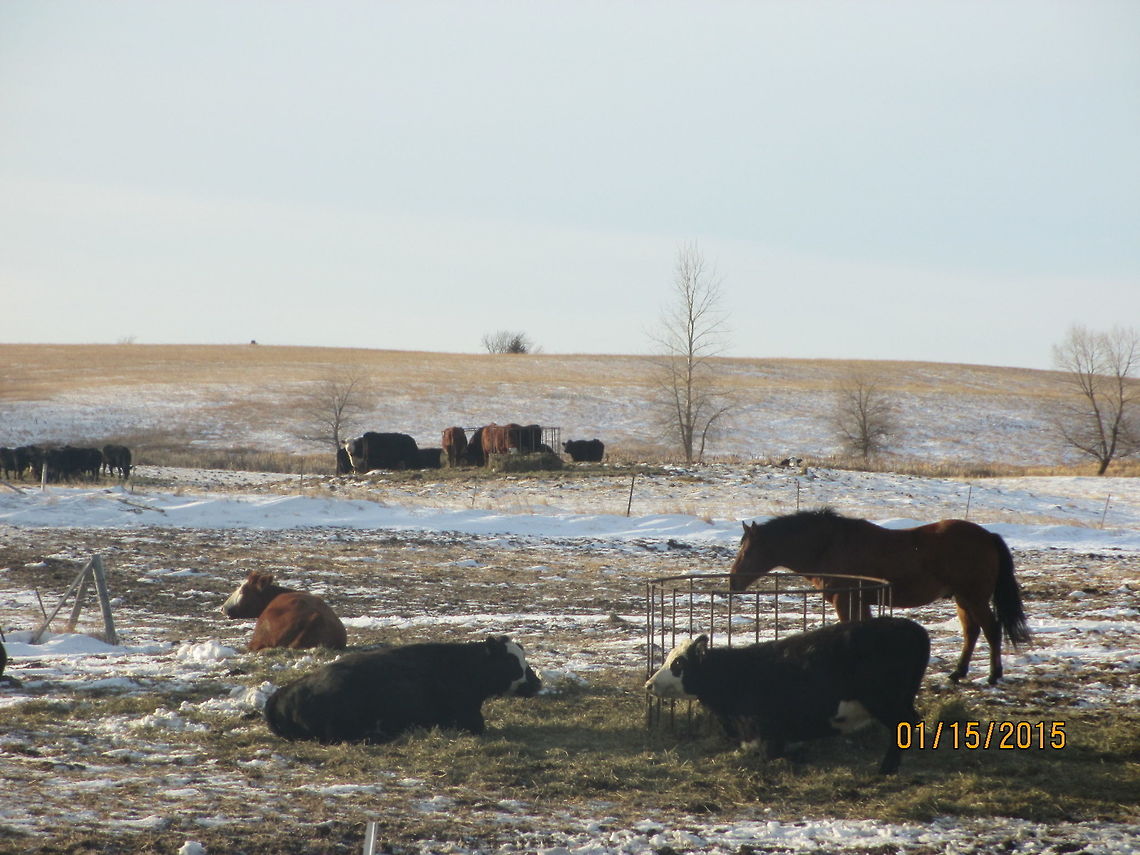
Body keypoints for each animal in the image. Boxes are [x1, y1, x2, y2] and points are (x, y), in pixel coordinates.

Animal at [645, 616, 930, 774]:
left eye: (678, 664)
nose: (649, 684)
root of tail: (911, 628)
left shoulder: (767, 728)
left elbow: (772, 751)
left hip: (885, 702)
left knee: (903, 725)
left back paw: (886, 769)